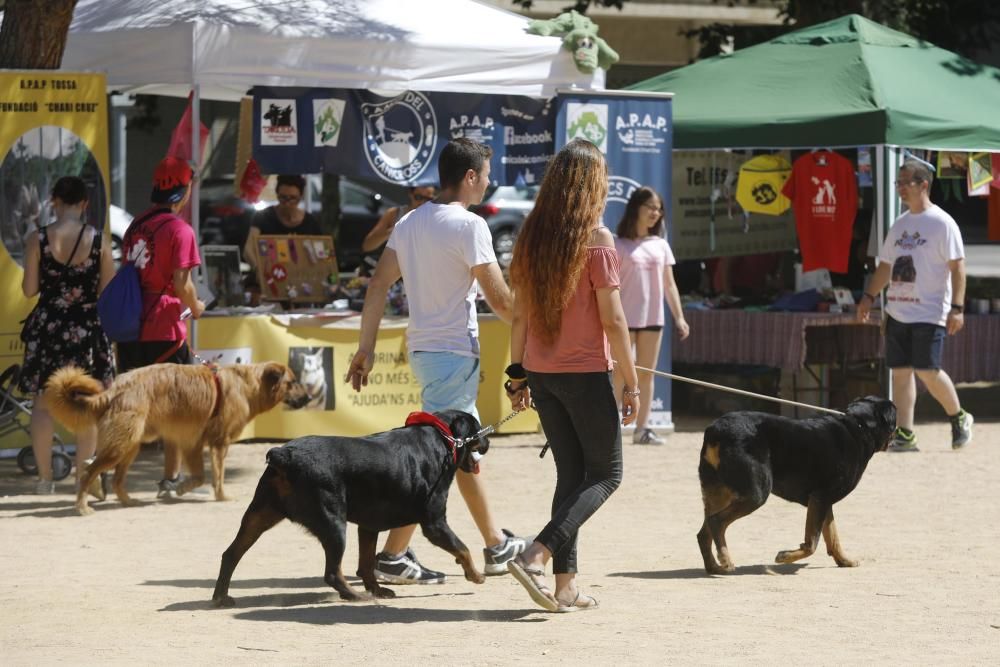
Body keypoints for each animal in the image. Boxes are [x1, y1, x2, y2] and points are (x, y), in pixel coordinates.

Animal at [45, 362, 308, 516]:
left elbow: (200, 477)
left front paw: (181, 487)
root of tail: (116, 388)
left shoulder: (192, 443)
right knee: (89, 472)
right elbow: (217, 476)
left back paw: (128, 501)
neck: (247, 384)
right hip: (121, 447)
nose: (307, 398)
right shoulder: (219, 442)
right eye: (293, 382)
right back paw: (82, 506)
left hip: (130, 446)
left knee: (116, 479)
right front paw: (221, 496)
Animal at [214, 410, 488, 608]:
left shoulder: (369, 525)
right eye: (477, 428)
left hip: (259, 515)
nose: (487, 441)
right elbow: (463, 547)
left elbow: (366, 563)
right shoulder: (435, 523)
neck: (444, 438)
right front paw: (475, 575)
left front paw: (377, 589)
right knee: (332, 573)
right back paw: (354, 596)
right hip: (333, 523)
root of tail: (284, 454)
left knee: (230, 554)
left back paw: (220, 597)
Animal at [696, 396, 900, 576]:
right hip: (756, 493)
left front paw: (844, 560)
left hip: (718, 492)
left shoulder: (823, 501)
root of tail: (716, 430)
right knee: (717, 522)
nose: (899, 432)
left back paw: (713, 567)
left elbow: (833, 536)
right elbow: (812, 543)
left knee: (704, 532)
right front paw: (785, 557)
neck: (859, 426)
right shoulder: (820, 498)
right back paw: (725, 559)